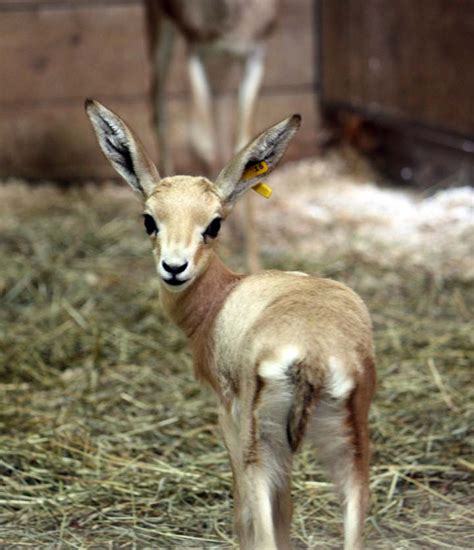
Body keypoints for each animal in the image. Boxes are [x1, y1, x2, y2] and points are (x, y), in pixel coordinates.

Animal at [84, 100, 374, 550]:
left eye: (214, 223)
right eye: (150, 219)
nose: (174, 268)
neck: (224, 296)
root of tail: (312, 354)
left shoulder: (227, 414)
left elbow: (246, 515)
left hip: (262, 447)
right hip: (348, 445)